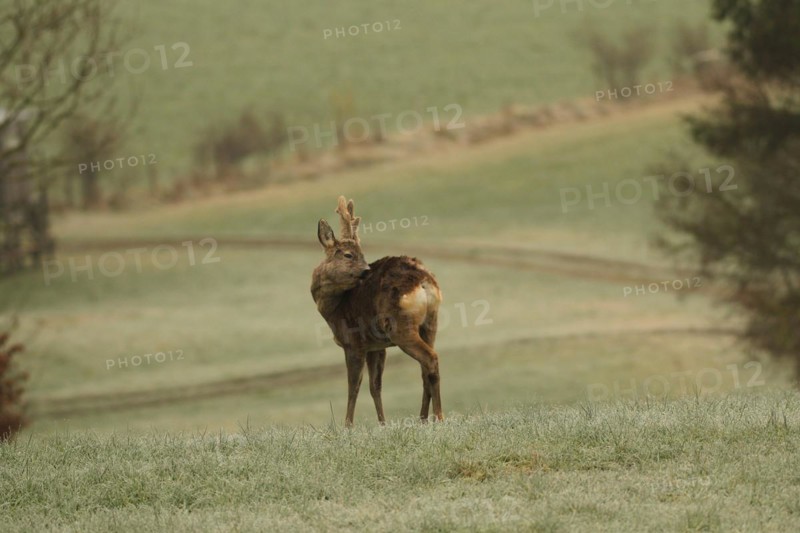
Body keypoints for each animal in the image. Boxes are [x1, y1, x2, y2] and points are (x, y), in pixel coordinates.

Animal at [311, 196, 443, 427]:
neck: (334, 308)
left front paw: (347, 426)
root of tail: (424, 281)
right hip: (430, 323)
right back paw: (422, 419)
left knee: (430, 359)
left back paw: (438, 417)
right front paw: (382, 423)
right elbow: (375, 387)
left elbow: (353, 386)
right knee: (424, 370)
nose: (366, 270)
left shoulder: (353, 342)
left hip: (401, 327)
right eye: (349, 255)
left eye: (361, 254)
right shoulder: (376, 346)